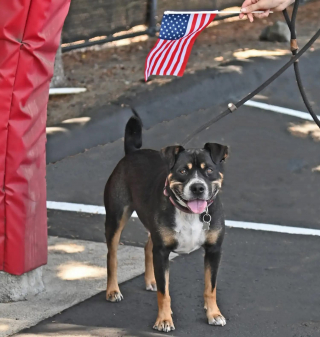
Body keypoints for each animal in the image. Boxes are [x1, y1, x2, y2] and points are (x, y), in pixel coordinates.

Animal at [104, 112, 229, 330]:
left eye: (209, 170)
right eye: (183, 171)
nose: (197, 187)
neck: (188, 213)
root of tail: (132, 153)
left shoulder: (214, 250)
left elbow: (210, 287)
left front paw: (214, 314)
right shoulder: (162, 252)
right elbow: (165, 293)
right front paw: (163, 320)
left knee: (147, 247)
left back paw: (151, 280)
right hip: (116, 217)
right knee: (112, 255)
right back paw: (112, 291)